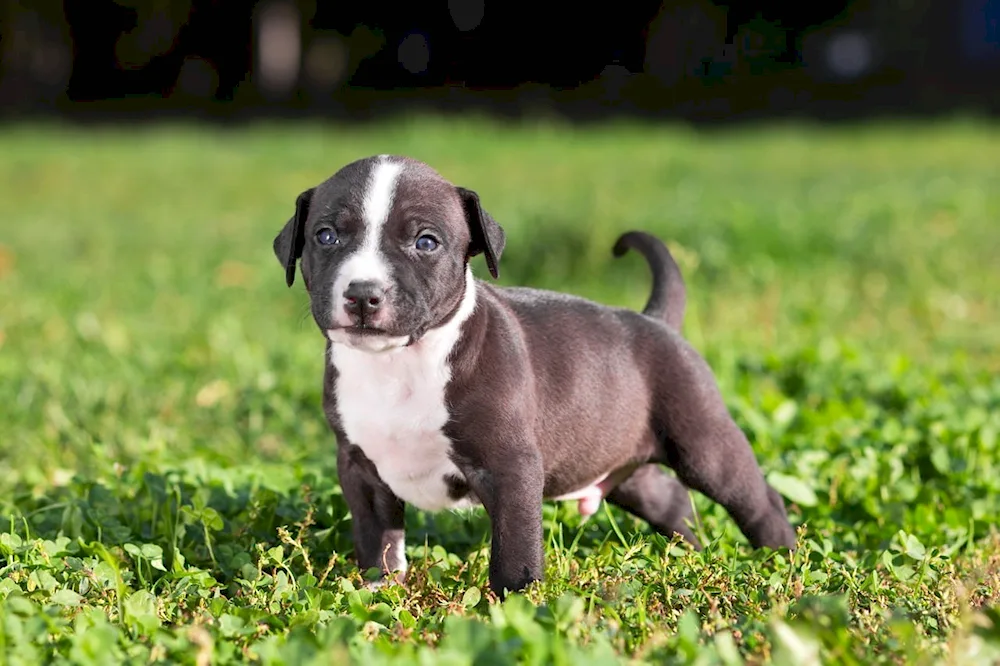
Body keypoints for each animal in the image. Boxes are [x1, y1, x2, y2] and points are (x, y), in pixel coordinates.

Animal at [274, 157, 796, 596]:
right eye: (326, 236)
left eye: (425, 242)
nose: (363, 294)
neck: (398, 363)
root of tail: (655, 320)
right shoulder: (360, 469)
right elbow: (377, 541)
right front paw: (378, 595)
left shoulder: (511, 468)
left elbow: (515, 548)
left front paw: (519, 607)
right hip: (615, 455)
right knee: (668, 497)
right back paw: (691, 555)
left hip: (703, 442)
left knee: (758, 499)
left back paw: (784, 560)